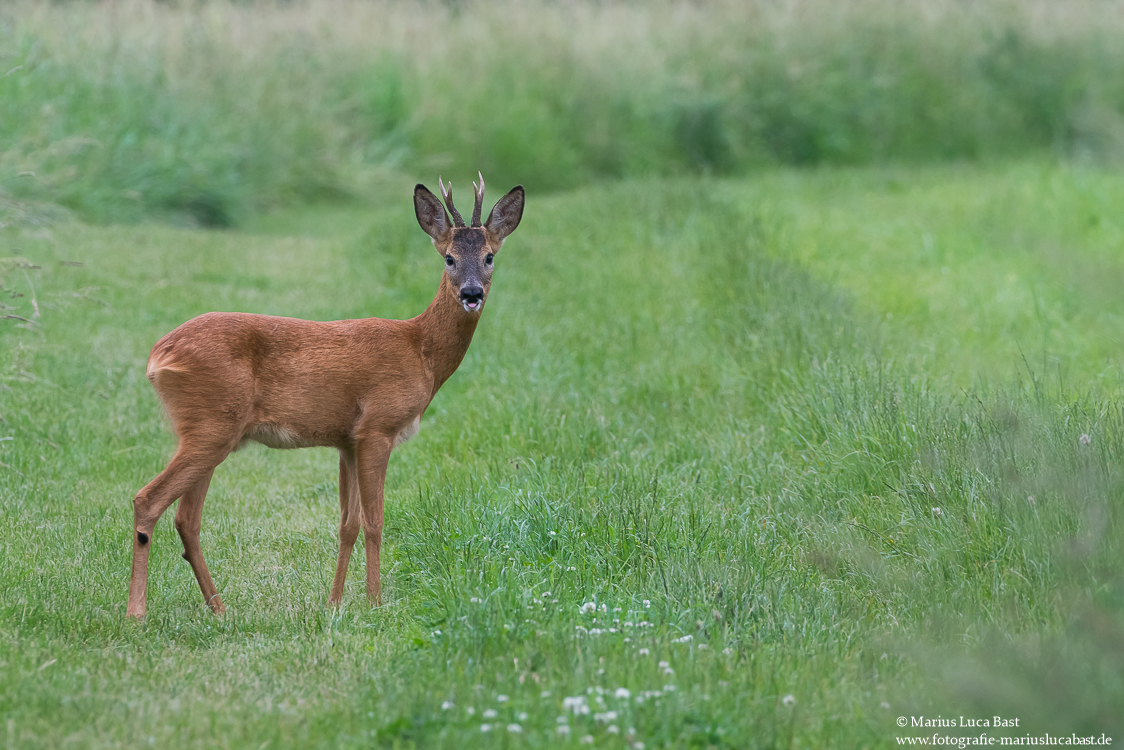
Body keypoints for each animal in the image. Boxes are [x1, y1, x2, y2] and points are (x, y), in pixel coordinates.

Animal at [128, 177, 526, 620]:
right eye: (450, 259)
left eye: (489, 256)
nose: (472, 294)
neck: (420, 350)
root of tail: (158, 356)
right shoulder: (378, 427)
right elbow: (375, 520)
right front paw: (374, 602)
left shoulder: (347, 440)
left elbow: (347, 523)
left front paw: (333, 603)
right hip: (212, 425)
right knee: (149, 500)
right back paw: (137, 613)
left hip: (208, 430)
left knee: (186, 518)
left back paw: (219, 608)